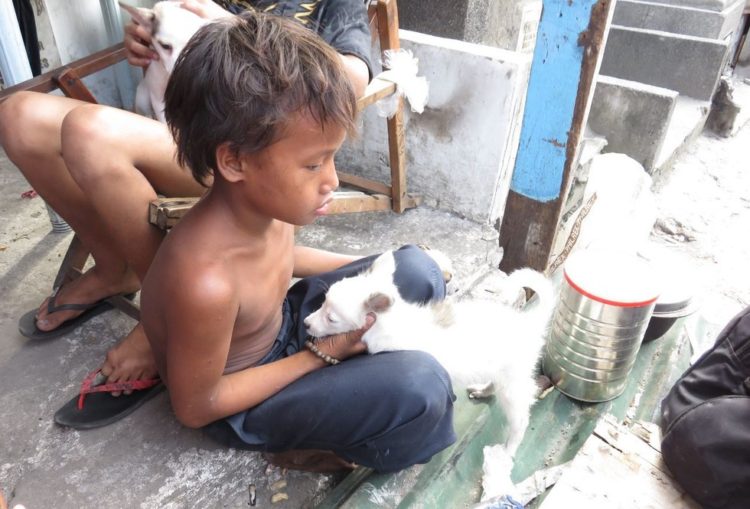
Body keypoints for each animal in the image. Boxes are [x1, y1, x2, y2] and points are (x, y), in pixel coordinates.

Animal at [306, 250, 560, 452]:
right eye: (322, 302)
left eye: (331, 318)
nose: (306, 323)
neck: (389, 322)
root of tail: (528, 322)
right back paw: (482, 390)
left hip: (513, 385)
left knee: (520, 420)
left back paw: (509, 450)